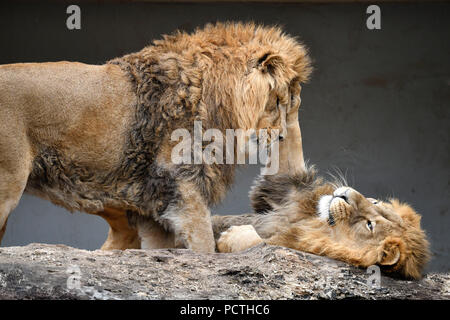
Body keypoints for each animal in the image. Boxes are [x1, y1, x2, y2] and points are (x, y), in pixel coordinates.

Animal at [0, 22, 312, 252]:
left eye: (289, 103)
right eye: (278, 101)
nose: (281, 137)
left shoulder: (152, 205)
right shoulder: (183, 184)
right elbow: (204, 245)